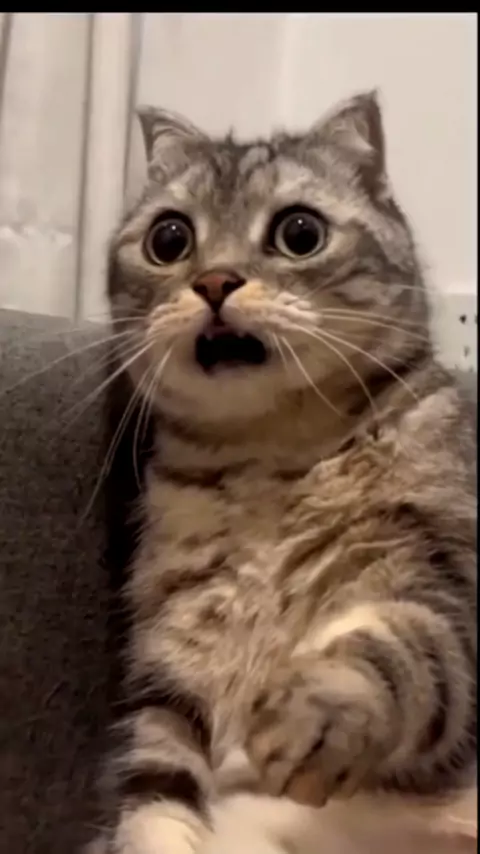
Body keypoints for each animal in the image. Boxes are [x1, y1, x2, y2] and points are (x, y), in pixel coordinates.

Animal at [95, 91, 476, 854]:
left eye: (299, 232)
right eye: (169, 240)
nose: (213, 280)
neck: (265, 459)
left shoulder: (443, 568)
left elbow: (401, 648)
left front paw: (317, 710)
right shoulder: (173, 652)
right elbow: (156, 788)